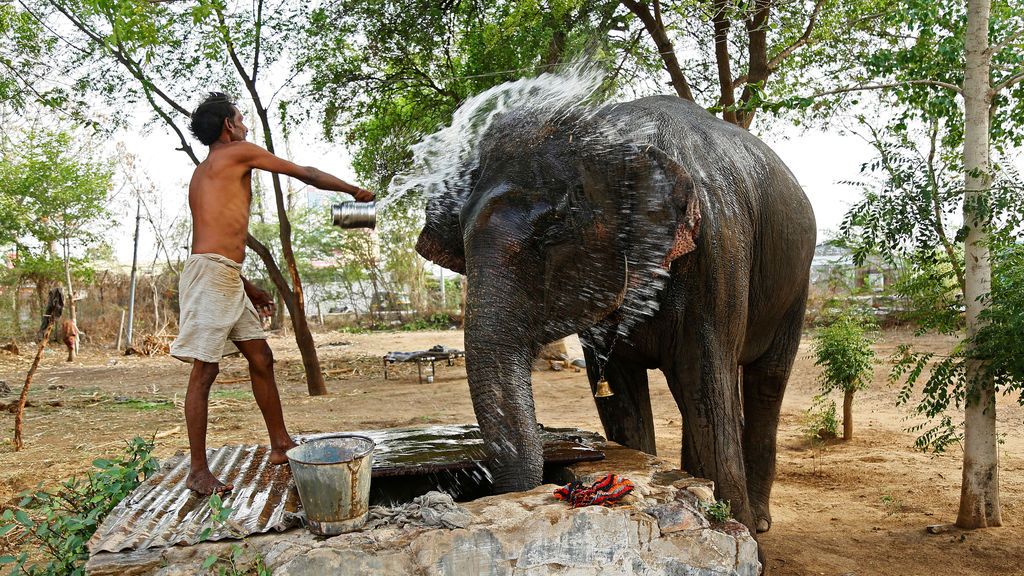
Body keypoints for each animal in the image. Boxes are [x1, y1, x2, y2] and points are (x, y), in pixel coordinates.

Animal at [415, 94, 816, 538]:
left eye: (553, 232)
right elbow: (620, 394)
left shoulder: (718, 249)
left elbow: (706, 382)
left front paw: (739, 530)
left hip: (797, 283)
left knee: (765, 383)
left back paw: (759, 521)